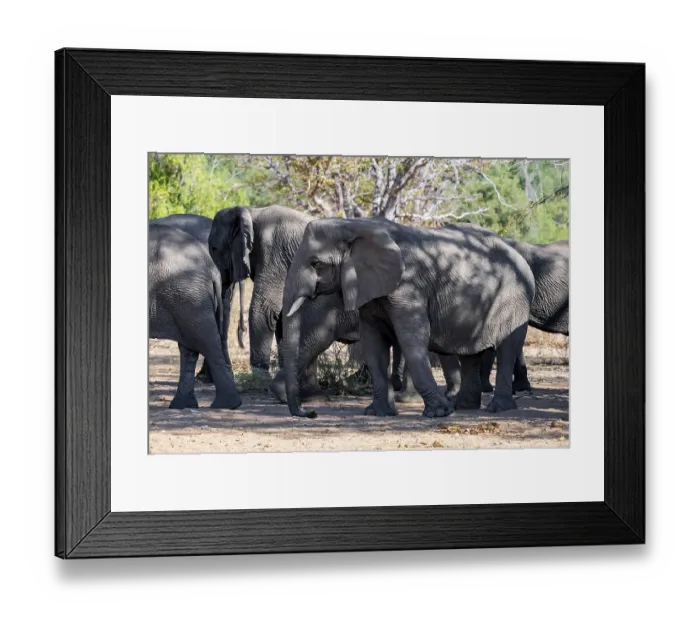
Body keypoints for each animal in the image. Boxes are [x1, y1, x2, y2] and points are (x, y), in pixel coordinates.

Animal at [148, 223, 242, 410]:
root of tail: (211, 268)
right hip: (187, 296)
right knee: (190, 347)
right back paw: (182, 405)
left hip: (187, 295)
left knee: (205, 341)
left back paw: (227, 404)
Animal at [282, 218, 536, 418]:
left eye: (316, 264)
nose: (311, 412)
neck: (354, 226)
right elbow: (373, 344)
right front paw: (377, 413)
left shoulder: (408, 286)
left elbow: (412, 339)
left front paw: (439, 413)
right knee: (470, 353)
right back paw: (464, 407)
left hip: (514, 298)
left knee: (507, 347)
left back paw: (497, 408)